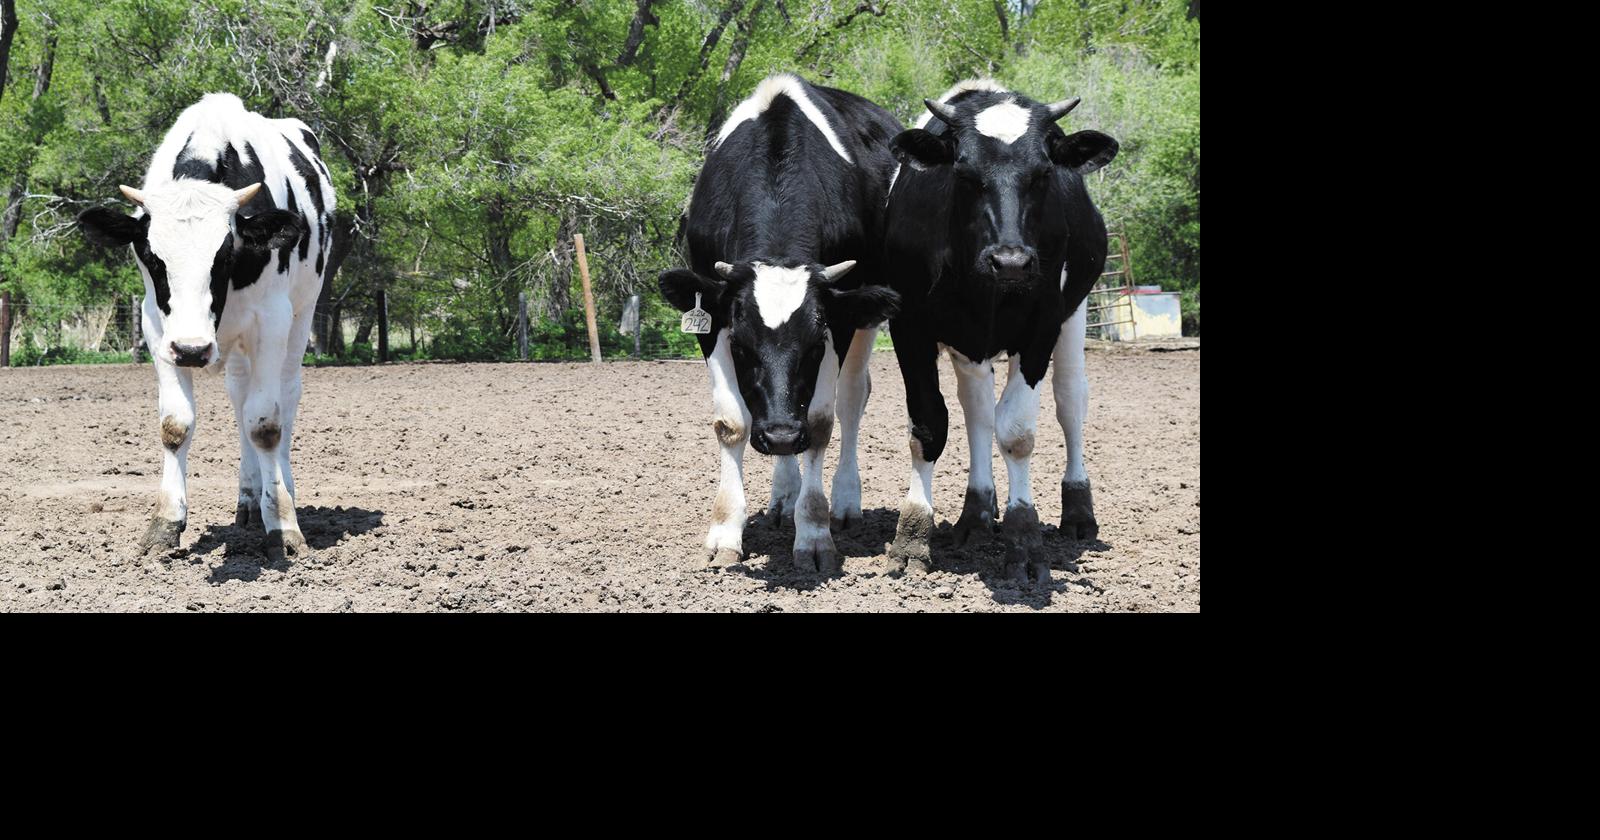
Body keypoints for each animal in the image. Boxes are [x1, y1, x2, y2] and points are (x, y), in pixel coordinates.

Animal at [76, 93, 336, 563]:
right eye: (151, 256)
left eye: (226, 254)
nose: (193, 351)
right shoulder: (157, 325)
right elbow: (176, 424)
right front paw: (165, 523)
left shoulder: (271, 319)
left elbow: (265, 425)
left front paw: (282, 525)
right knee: (240, 398)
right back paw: (249, 498)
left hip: (301, 314)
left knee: (285, 397)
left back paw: (282, 490)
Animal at [658, 73, 901, 574]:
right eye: (743, 347)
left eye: (812, 346)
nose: (782, 435)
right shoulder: (714, 317)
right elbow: (731, 422)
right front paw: (725, 532)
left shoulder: (839, 320)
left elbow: (822, 423)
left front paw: (814, 534)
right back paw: (784, 496)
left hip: (865, 318)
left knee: (852, 398)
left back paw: (842, 502)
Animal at [881, 79, 1120, 584]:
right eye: (964, 172)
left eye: (1043, 173)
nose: (1010, 261)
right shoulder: (908, 325)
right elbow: (930, 425)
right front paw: (912, 536)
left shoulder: (1041, 329)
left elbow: (1017, 433)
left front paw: (1024, 539)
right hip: (971, 347)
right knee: (977, 413)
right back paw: (975, 514)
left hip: (1075, 314)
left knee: (1070, 402)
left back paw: (1078, 512)